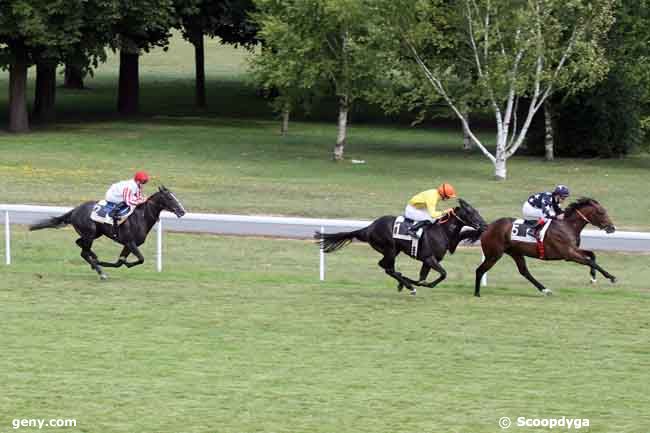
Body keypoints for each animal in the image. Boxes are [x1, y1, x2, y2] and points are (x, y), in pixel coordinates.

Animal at [30, 184, 185, 278]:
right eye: (170, 197)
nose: (182, 211)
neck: (141, 216)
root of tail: (75, 210)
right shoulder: (130, 242)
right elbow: (140, 259)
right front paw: (102, 264)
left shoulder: (128, 244)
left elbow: (120, 262)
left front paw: (117, 263)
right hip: (90, 234)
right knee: (83, 252)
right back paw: (100, 270)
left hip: (94, 234)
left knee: (80, 244)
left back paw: (95, 259)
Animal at [464, 197, 616, 296]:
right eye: (601, 212)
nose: (612, 228)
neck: (567, 226)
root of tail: (487, 227)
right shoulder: (568, 254)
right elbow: (590, 261)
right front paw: (611, 277)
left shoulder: (573, 250)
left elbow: (592, 255)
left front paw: (593, 277)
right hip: (494, 254)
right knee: (480, 270)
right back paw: (477, 293)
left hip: (515, 252)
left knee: (524, 271)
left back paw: (545, 290)